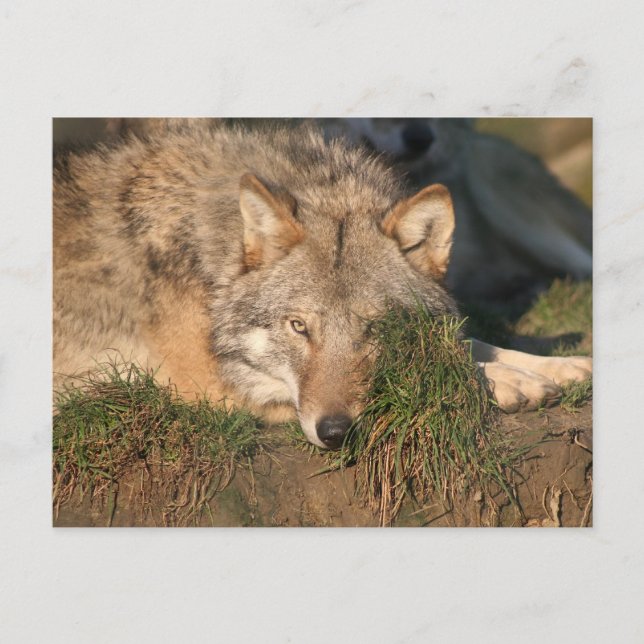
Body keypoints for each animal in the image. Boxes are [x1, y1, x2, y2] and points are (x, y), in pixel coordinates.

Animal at [53, 120, 591, 449]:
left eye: (375, 329)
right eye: (298, 327)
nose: (335, 432)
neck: (214, 261)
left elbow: (469, 341)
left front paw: (556, 367)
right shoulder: (205, 387)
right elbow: (447, 364)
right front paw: (509, 383)